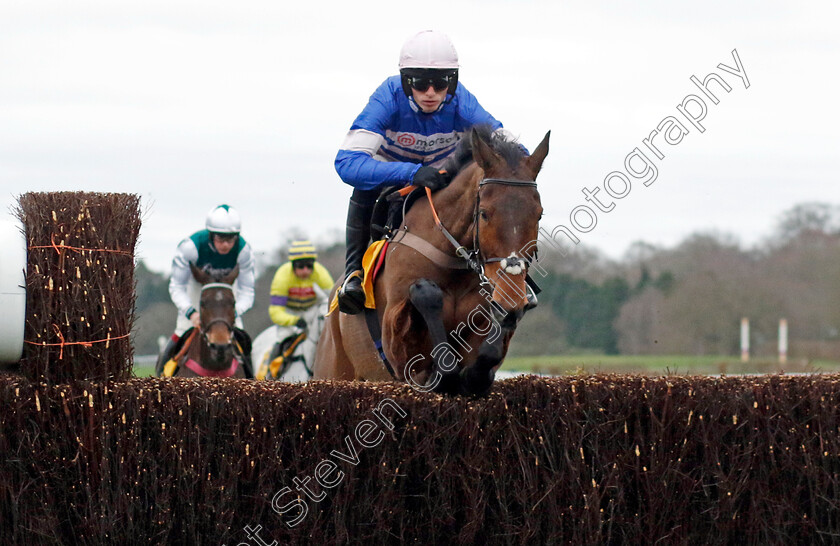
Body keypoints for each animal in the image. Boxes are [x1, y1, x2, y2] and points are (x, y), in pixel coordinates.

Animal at [312, 125, 548, 394]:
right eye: (484, 213)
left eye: (539, 214)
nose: (511, 296)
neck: (449, 258)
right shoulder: (396, 342)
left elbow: (479, 370)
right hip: (333, 369)